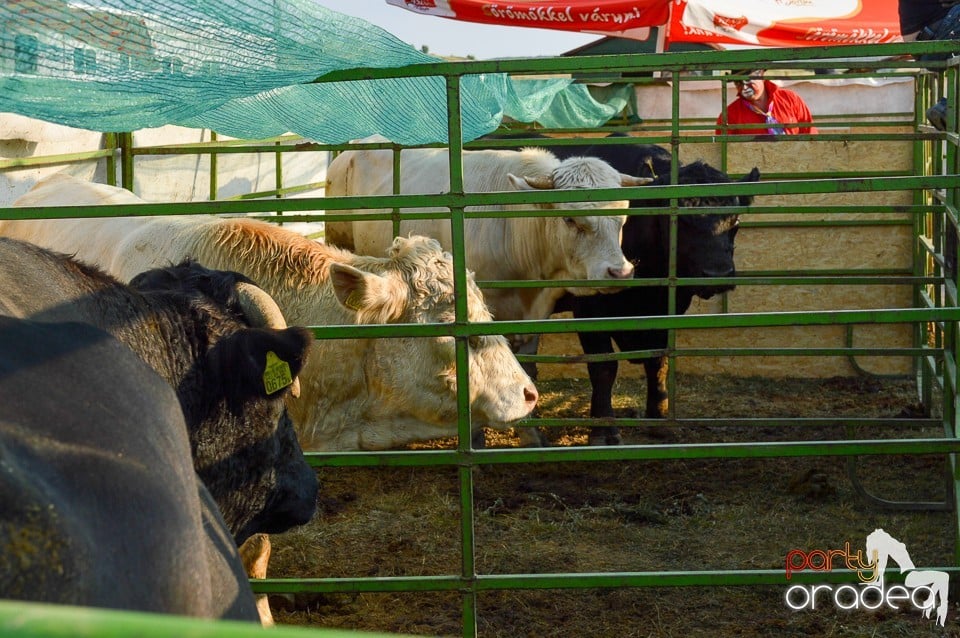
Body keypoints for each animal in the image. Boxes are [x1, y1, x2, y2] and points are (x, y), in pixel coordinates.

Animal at [552, 141, 760, 444]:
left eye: (735, 220)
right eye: (680, 222)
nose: (718, 274)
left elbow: (658, 360)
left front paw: (659, 418)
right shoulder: (589, 310)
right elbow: (603, 368)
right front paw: (603, 430)